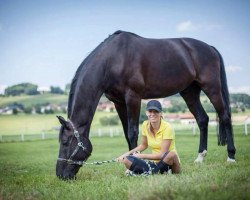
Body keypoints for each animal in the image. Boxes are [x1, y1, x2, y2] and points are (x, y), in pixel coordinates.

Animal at [56, 30, 236, 180]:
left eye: (65, 142)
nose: (60, 175)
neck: (113, 59)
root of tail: (210, 48)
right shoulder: (118, 102)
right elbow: (126, 132)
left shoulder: (133, 97)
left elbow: (132, 132)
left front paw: (130, 166)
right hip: (189, 92)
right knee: (202, 119)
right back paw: (200, 157)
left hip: (211, 87)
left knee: (225, 116)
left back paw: (231, 157)